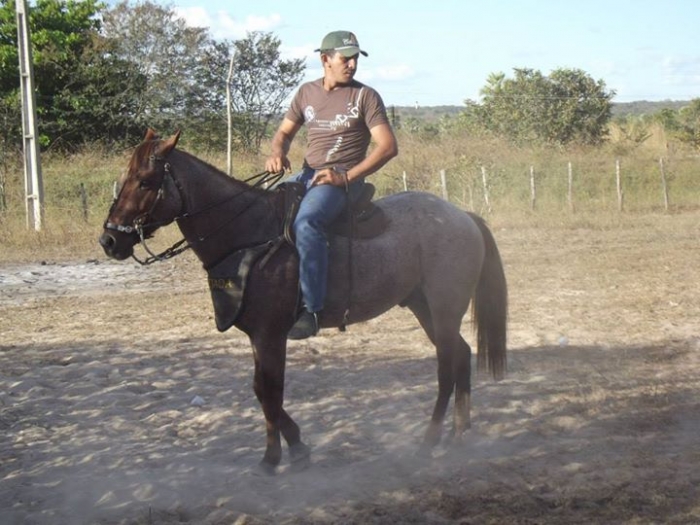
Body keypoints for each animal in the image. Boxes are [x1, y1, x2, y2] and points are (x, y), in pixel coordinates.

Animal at [99, 129, 508, 473]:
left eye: (146, 181)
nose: (110, 240)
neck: (249, 235)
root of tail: (462, 216)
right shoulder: (257, 335)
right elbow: (260, 390)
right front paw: (288, 449)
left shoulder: (270, 334)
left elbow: (270, 390)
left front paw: (280, 455)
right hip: (425, 307)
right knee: (461, 355)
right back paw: (459, 433)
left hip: (443, 308)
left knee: (446, 367)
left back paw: (430, 440)